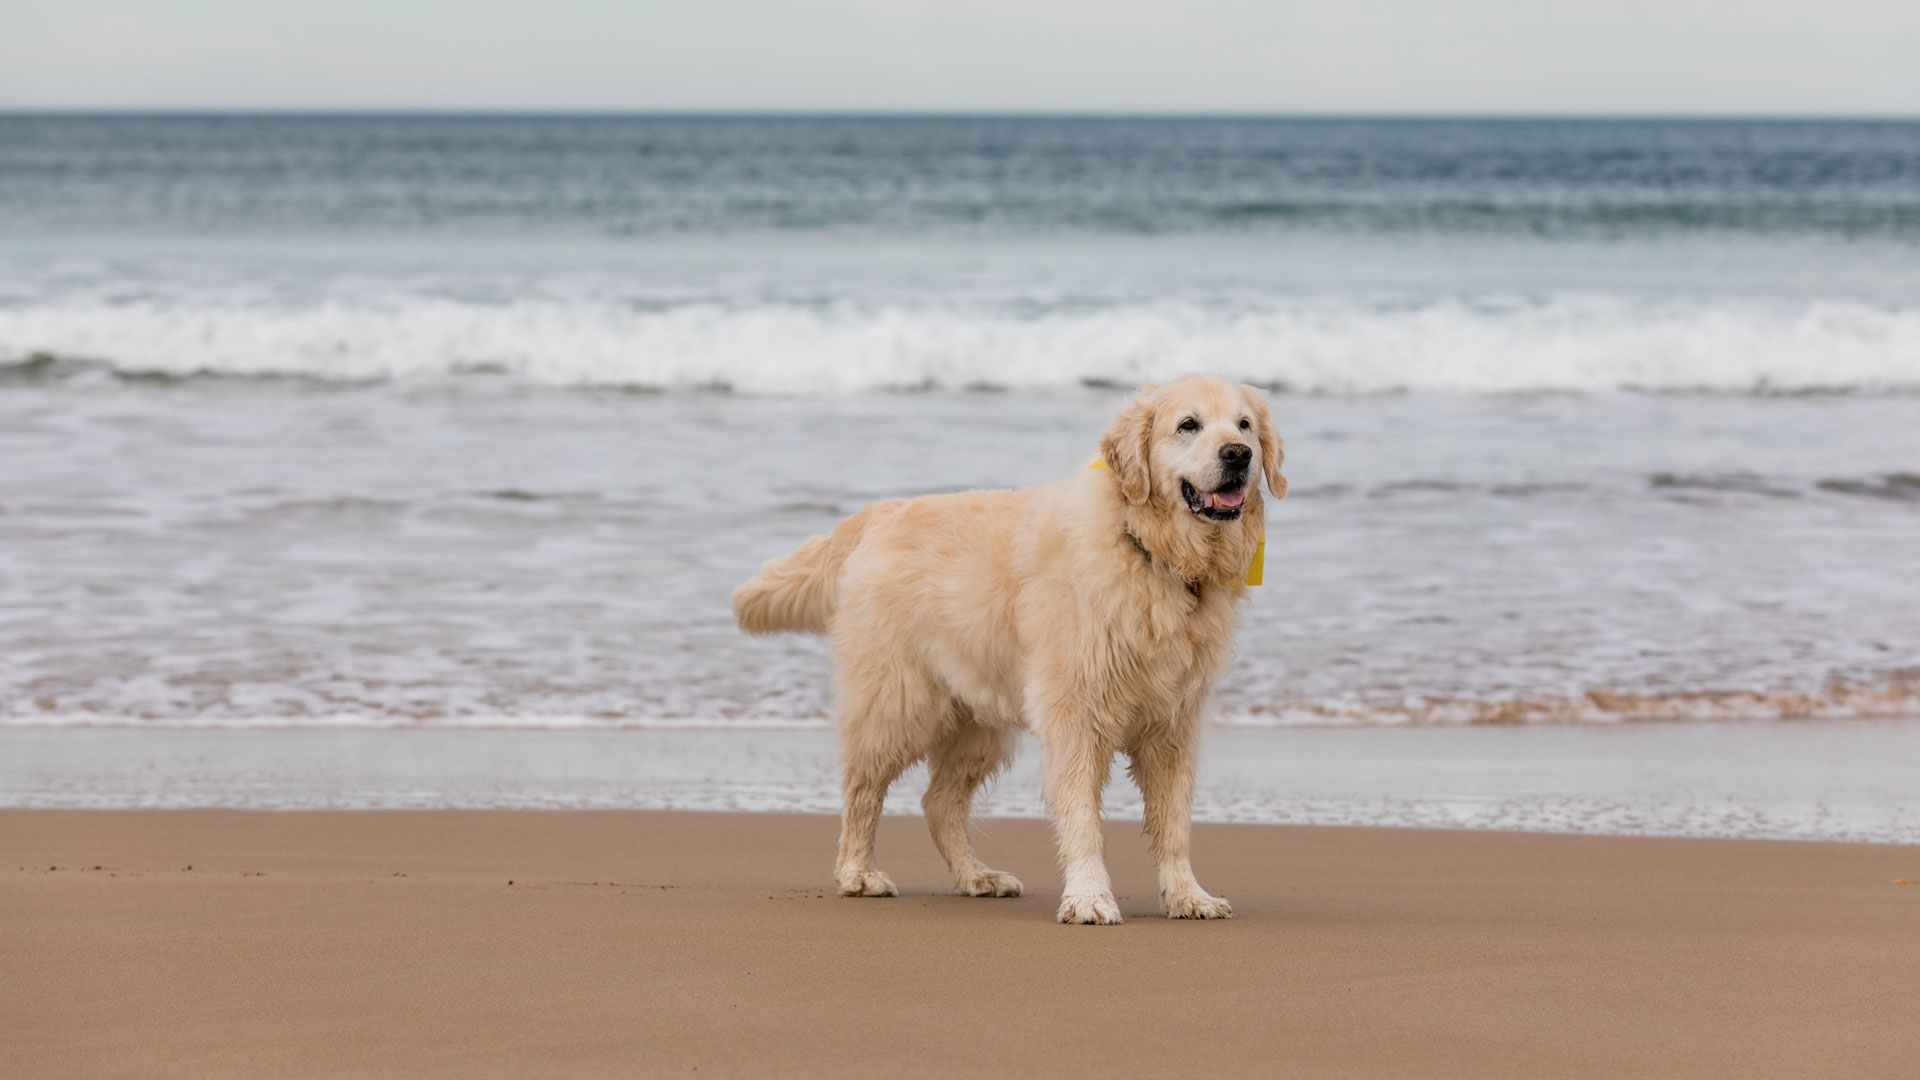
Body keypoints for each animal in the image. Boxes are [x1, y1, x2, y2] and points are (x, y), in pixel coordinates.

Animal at [733, 374, 1290, 922]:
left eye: (1244, 424)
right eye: (1188, 424)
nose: (1238, 454)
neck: (1149, 550)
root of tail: (881, 512)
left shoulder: (1173, 725)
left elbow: (1173, 825)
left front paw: (1186, 895)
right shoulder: (1075, 715)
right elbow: (1082, 819)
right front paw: (1089, 897)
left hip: (977, 722)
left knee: (939, 804)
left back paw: (977, 877)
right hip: (896, 702)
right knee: (862, 791)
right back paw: (858, 873)